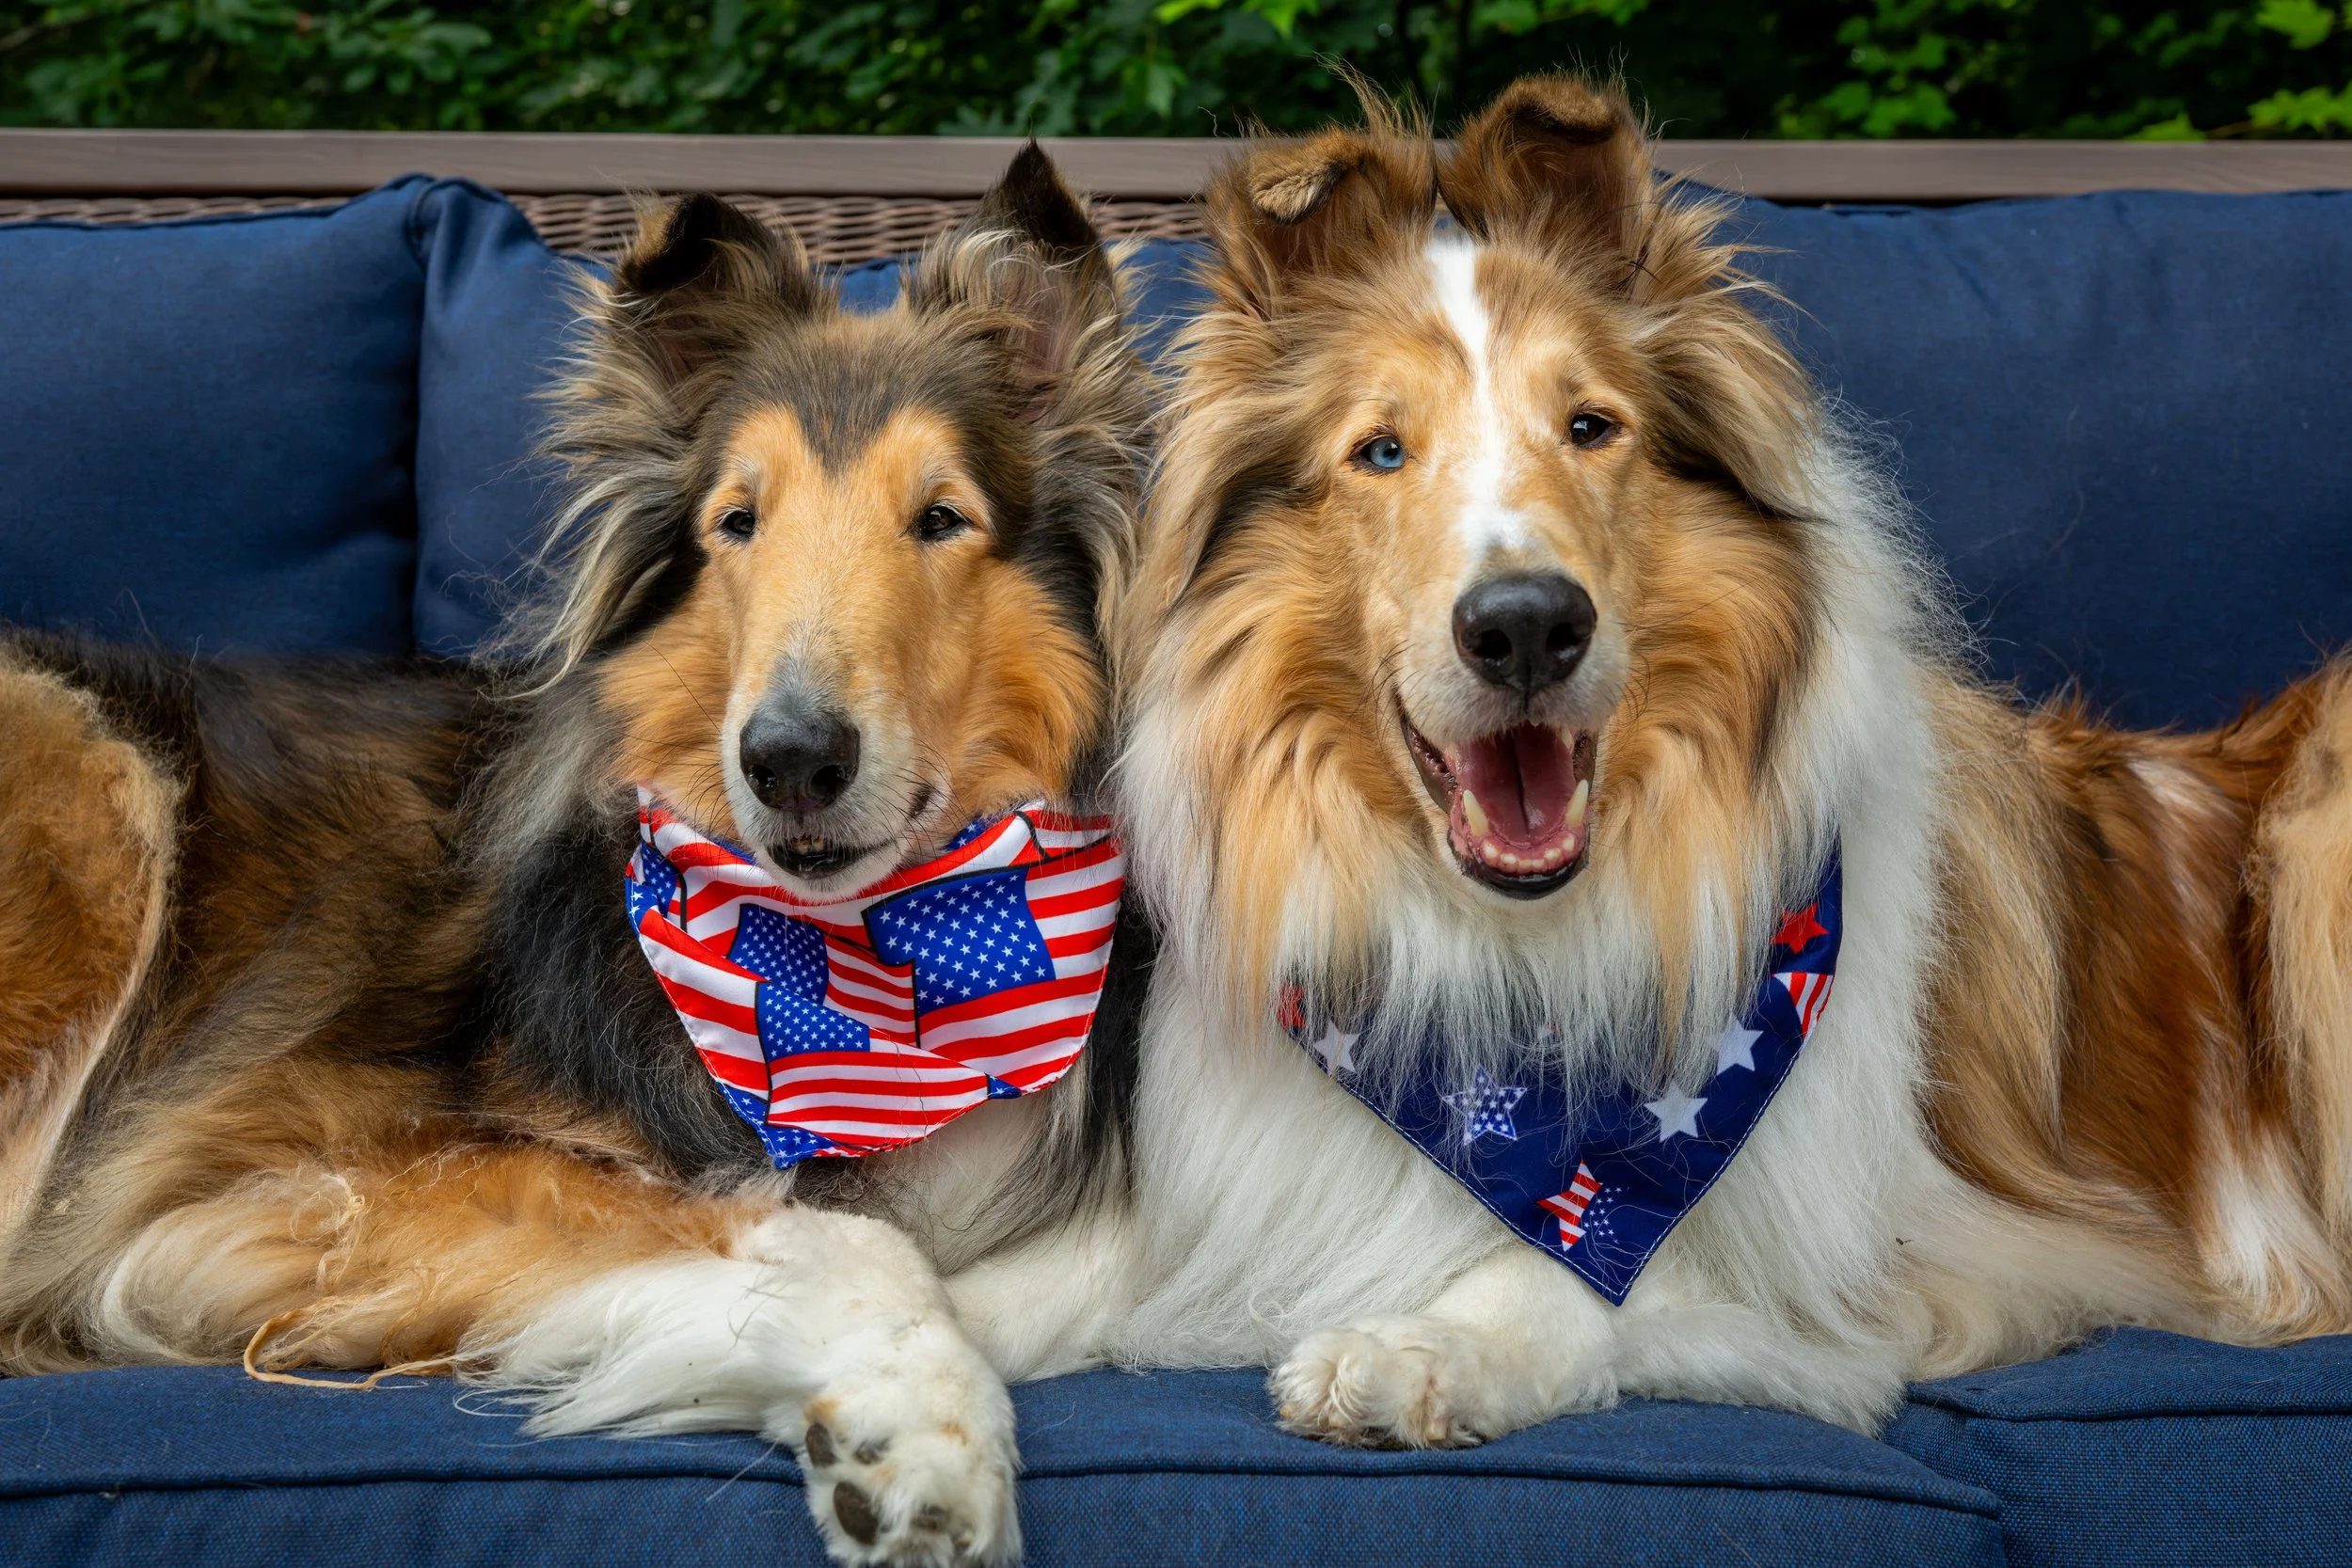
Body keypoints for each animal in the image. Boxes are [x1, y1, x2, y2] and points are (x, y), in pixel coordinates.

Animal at [0, 146, 1153, 1566]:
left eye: (941, 518)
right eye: (737, 523)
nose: (789, 757)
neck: (859, 959)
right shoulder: (244, 1184)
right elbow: (830, 1229)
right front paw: (923, 1427)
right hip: (92, 771)